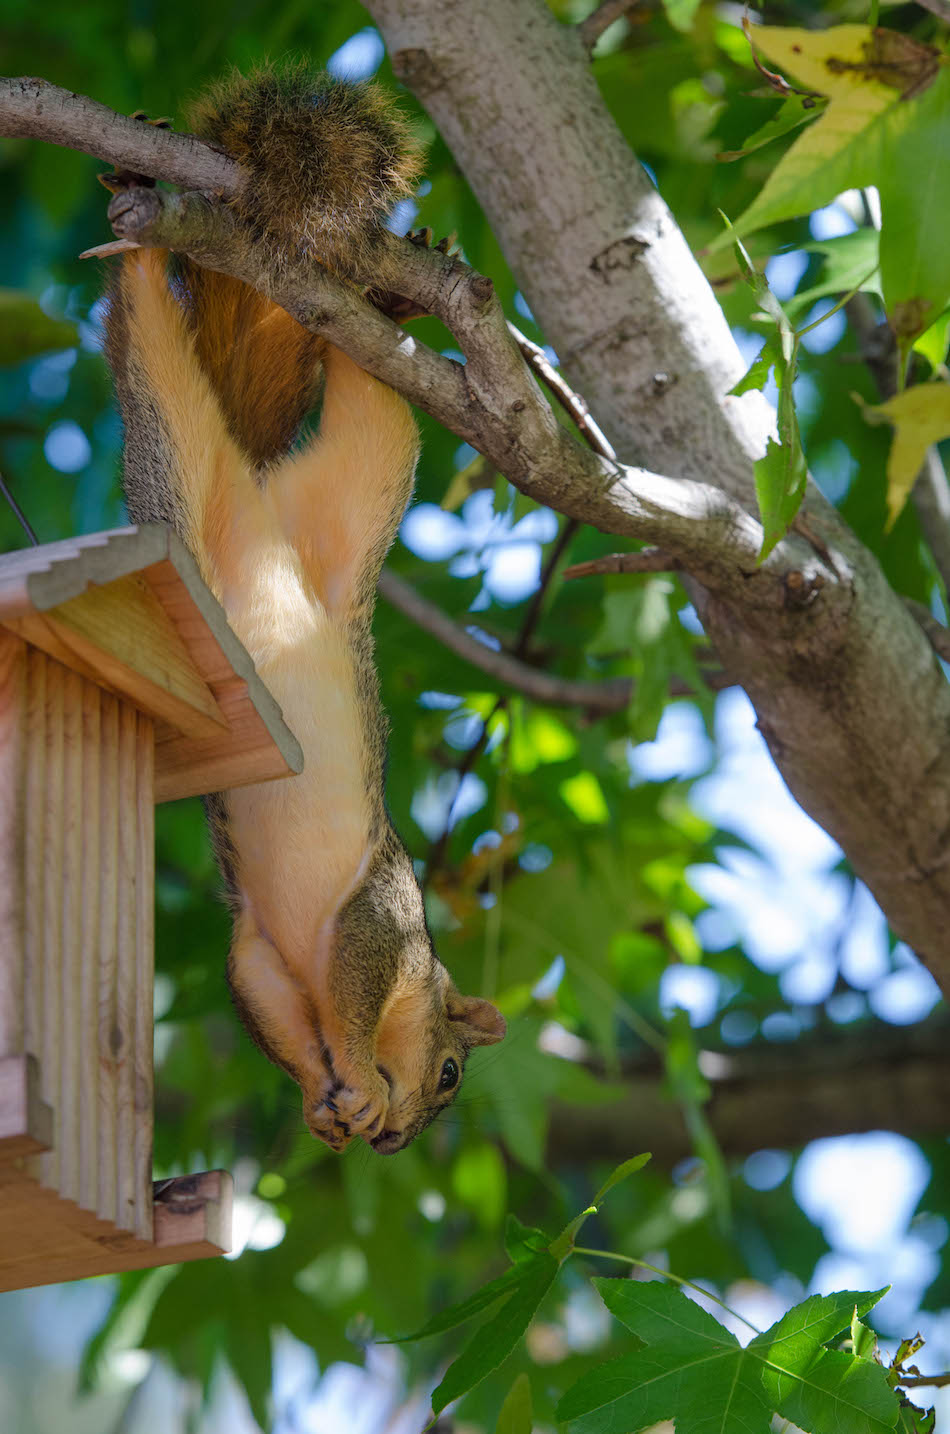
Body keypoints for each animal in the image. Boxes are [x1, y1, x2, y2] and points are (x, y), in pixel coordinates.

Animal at [102, 67, 505, 1152]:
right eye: (450, 1075)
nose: (393, 1140)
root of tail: (256, 501)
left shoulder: (266, 959)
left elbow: (281, 1018)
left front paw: (329, 1101)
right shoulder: (378, 916)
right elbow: (347, 1001)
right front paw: (357, 1075)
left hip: (328, 491)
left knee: (362, 395)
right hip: (262, 485)